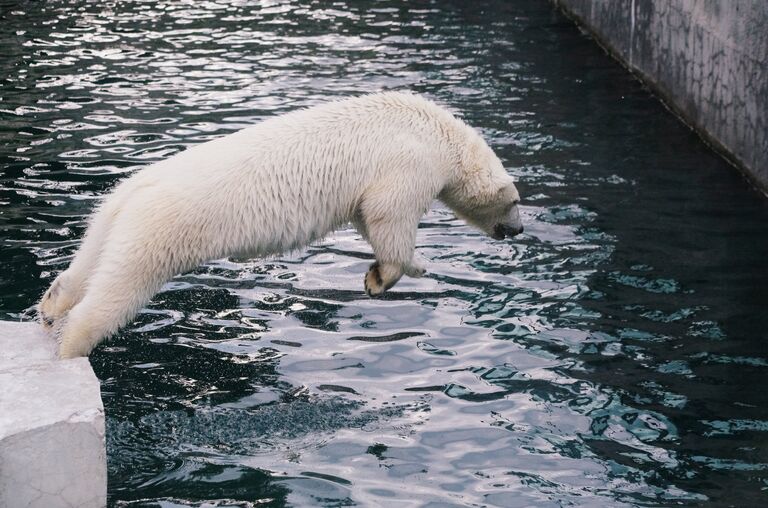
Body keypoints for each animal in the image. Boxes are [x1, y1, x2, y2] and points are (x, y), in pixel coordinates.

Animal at [39, 91, 524, 358]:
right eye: (516, 202)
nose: (519, 230)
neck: (440, 134)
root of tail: (137, 190)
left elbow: (366, 217)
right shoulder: (409, 163)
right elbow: (388, 216)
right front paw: (390, 275)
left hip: (112, 217)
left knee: (90, 262)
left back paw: (50, 307)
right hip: (160, 229)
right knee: (119, 290)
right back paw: (69, 346)